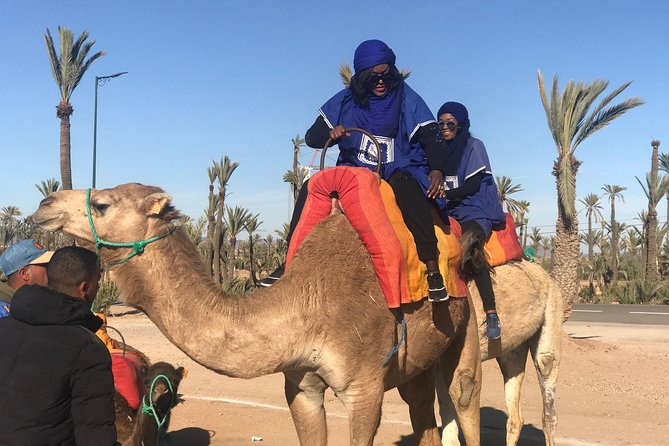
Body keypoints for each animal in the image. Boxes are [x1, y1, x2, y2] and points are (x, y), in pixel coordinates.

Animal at [34, 183, 483, 446]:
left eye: (101, 203)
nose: (44, 202)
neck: (306, 302)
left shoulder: (364, 389)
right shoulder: (301, 385)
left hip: (467, 324)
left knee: (464, 397)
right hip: (417, 363)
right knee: (423, 412)